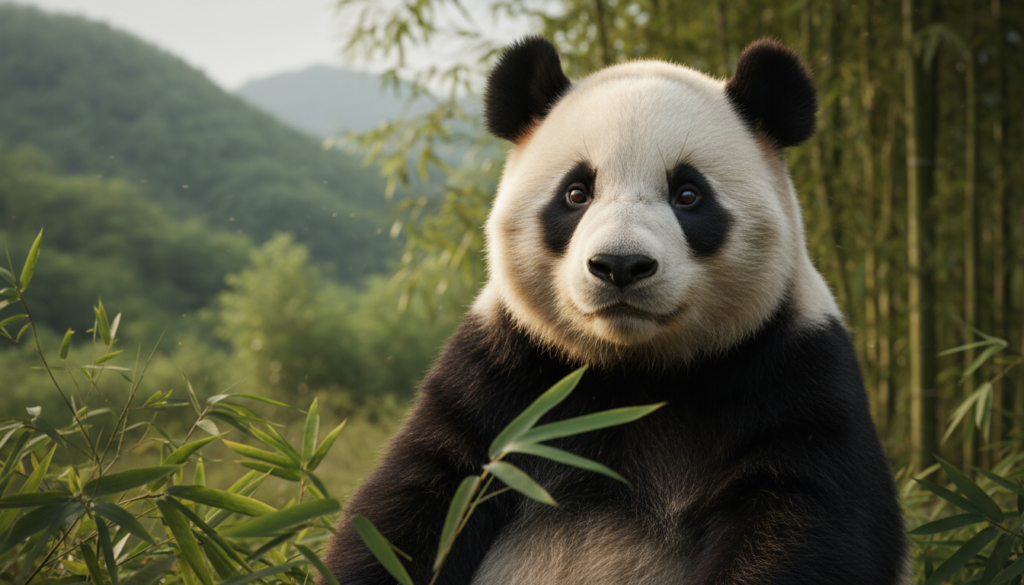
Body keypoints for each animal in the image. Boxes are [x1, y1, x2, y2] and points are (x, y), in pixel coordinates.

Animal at [324, 37, 907, 584]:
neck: (634, 370)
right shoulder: (504, 375)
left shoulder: (790, 373)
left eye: (688, 194)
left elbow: (805, 520)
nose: (620, 265)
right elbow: (411, 507)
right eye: (576, 193)